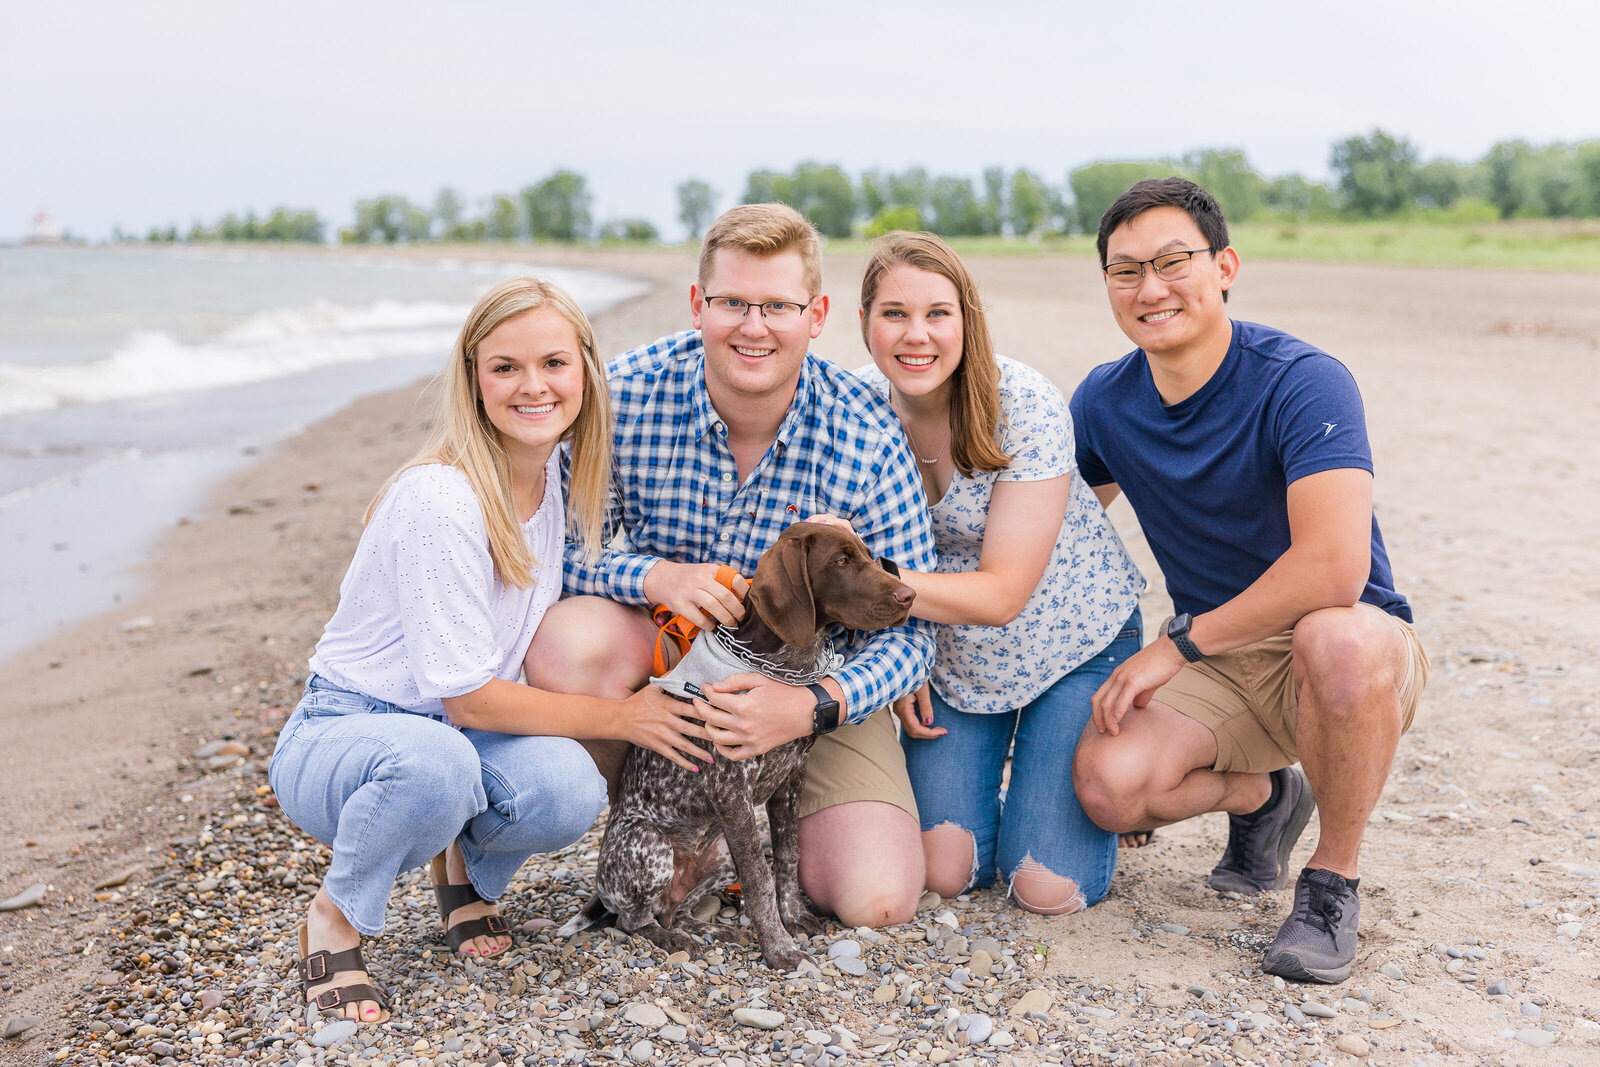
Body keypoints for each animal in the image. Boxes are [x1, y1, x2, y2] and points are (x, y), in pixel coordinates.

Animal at [560, 521, 915, 972]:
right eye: (841, 561)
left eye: (870, 556)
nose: (910, 595)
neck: (783, 666)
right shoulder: (731, 792)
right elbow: (760, 880)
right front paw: (778, 947)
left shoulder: (790, 782)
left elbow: (788, 857)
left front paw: (793, 917)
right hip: (649, 845)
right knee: (634, 920)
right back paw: (670, 939)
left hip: (721, 854)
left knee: (673, 910)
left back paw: (714, 931)